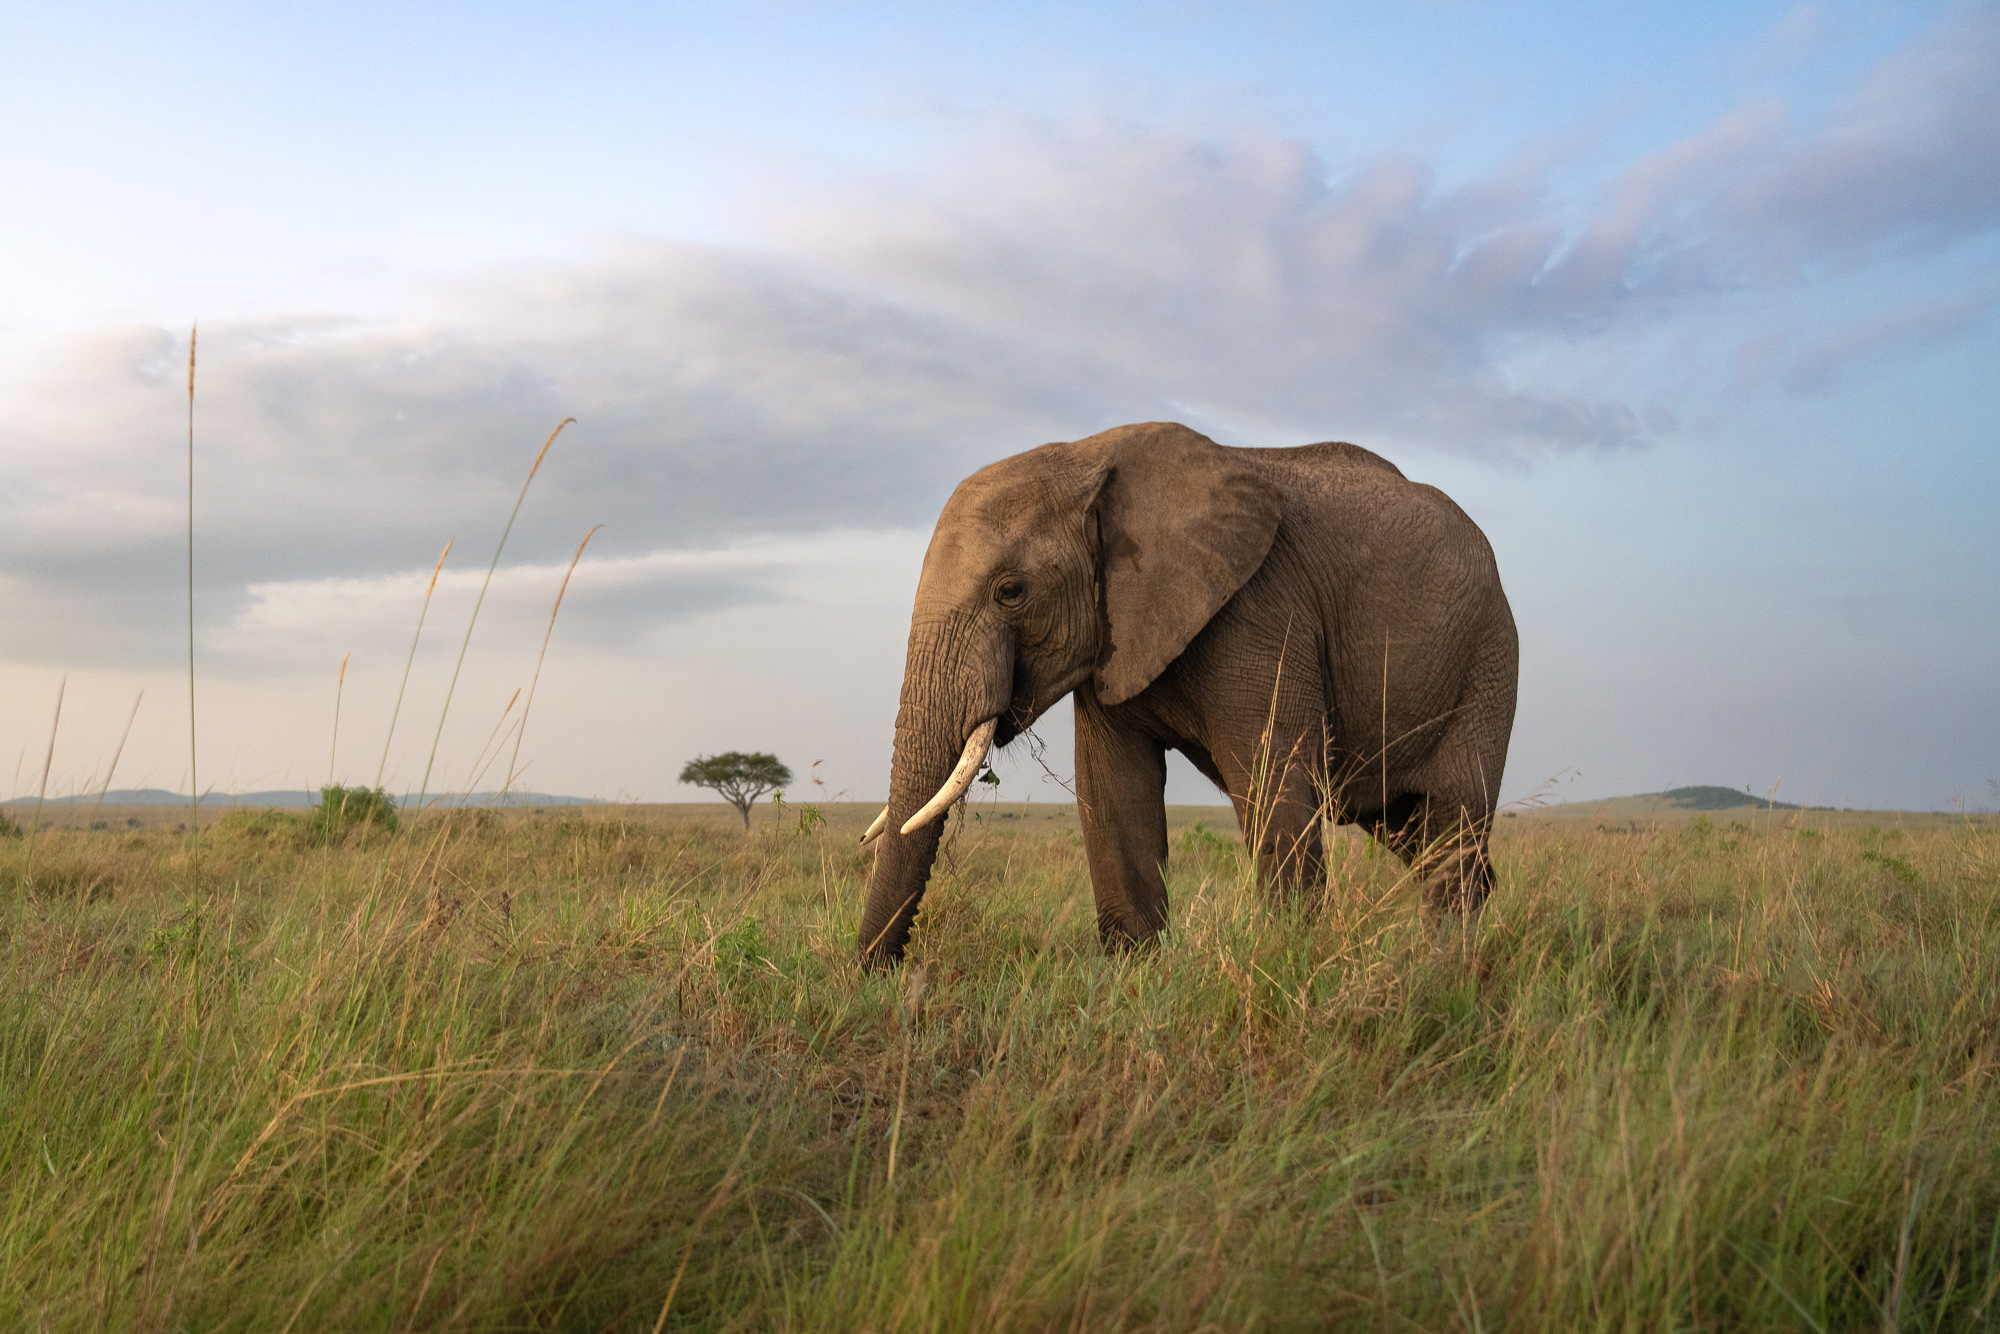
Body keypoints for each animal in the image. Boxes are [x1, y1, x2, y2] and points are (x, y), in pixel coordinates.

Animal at [857, 421, 1517, 969]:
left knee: (1452, 823)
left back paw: (1443, 967)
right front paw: (1136, 974)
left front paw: (1286, 959)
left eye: (1010, 591)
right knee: (1416, 833)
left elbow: (1273, 783)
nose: (876, 976)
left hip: (1488, 658)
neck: (1087, 456)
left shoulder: (1262, 614)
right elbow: (1114, 791)